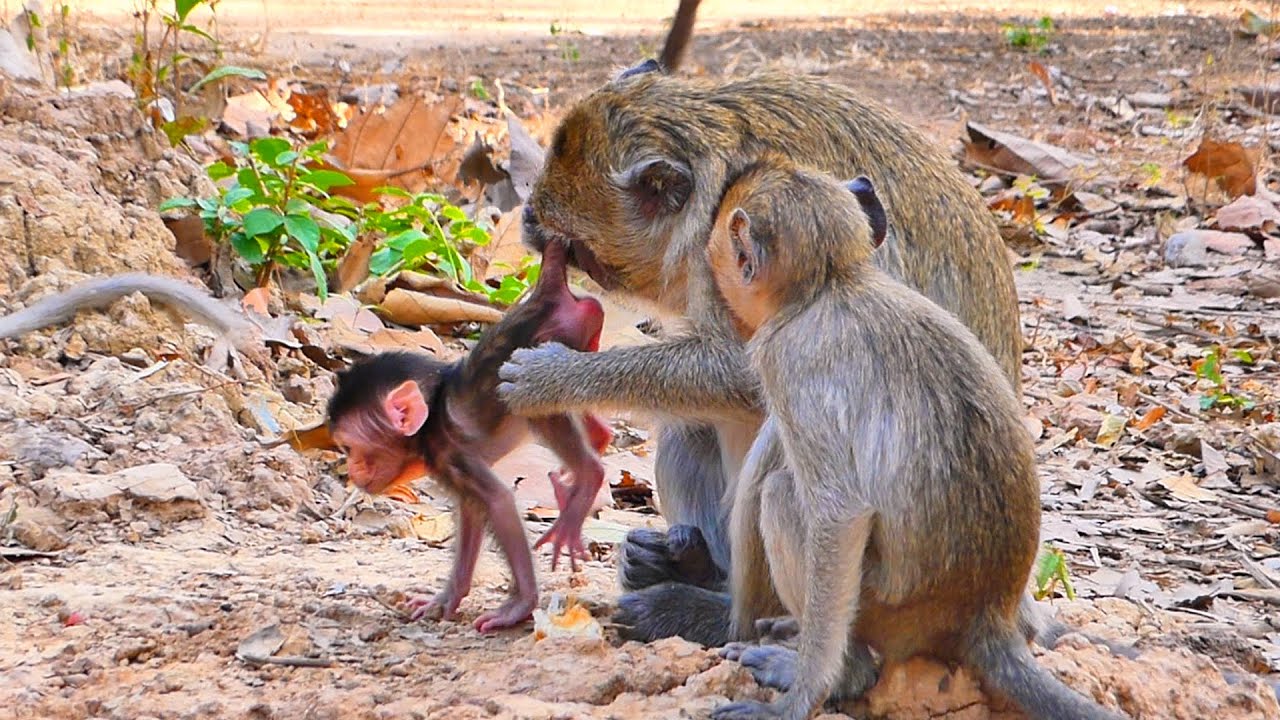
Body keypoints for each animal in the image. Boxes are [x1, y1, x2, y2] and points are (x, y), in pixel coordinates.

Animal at [326, 238, 612, 633]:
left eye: (350, 448)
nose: (352, 471)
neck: (431, 416)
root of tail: (545, 295)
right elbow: (471, 509)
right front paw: (446, 599)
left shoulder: (448, 453)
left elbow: (498, 501)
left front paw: (519, 606)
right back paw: (591, 450)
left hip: (552, 340)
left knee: (533, 399)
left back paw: (587, 476)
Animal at [495, 64, 1023, 646]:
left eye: (583, 253)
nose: (528, 217)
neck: (707, 141)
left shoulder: (726, 242)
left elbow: (747, 373)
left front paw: (556, 377)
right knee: (691, 426)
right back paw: (697, 567)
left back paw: (716, 616)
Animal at [699, 159, 1124, 720]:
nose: (717, 273)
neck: (834, 284)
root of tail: (986, 615)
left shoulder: (786, 360)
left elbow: (840, 514)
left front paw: (802, 696)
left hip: (888, 610)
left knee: (783, 496)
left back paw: (844, 671)